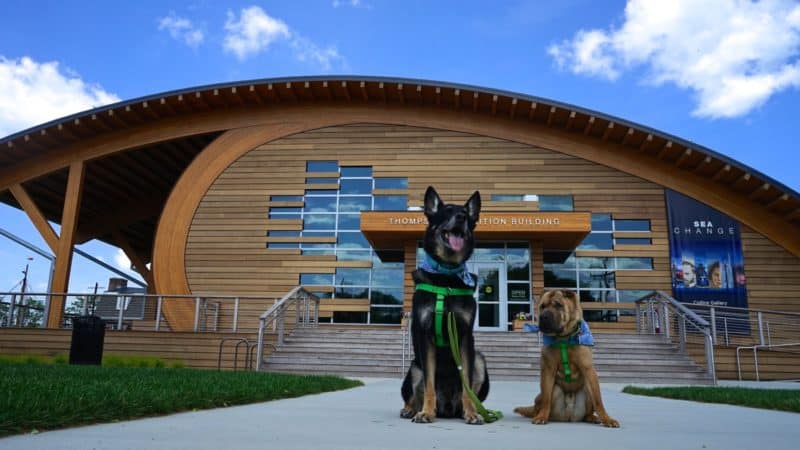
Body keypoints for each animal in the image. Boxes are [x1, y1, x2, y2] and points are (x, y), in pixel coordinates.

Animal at [398, 186, 488, 426]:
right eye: (446, 211)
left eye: (465, 214)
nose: (461, 218)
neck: (446, 276)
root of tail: (447, 407)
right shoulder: (426, 337)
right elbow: (428, 385)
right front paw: (426, 413)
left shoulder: (464, 336)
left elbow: (467, 384)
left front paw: (472, 413)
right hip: (414, 367)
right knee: (413, 394)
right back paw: (411, 410)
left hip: (480, 360)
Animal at [516, 290, 620, 428]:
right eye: (542, 306)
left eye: (558, 305)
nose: (543, 316)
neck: (563, 338)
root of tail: (569, 416)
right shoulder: (548, 370)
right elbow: (546, 398)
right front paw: (541, 417)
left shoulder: (588, 369)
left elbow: (598, 400)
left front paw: (607, 419)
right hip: (551, 391)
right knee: (543, 401)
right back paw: (541, 415)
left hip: (586, 389)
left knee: (588, 410)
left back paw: (592, 417)